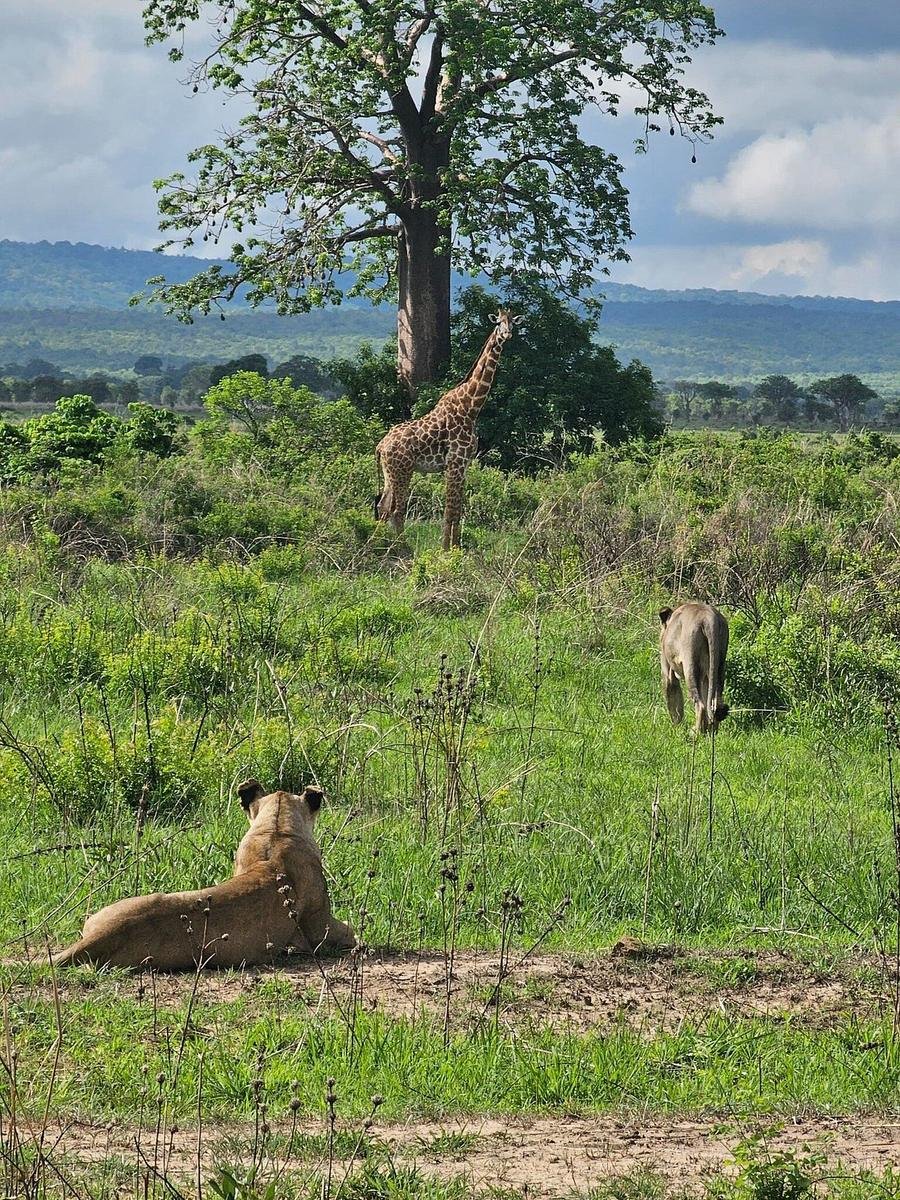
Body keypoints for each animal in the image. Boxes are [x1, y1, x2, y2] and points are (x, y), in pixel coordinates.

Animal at [374, 310, 518, 550]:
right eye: (498, 323)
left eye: (512, 323)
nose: (507, 335)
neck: (471, 408)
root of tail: (380, 446)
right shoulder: (454, 463)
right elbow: (450, 510)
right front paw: (446, 550)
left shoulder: (464, 466)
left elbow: (457, 510)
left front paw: (456, 548)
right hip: (403, 471)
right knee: (396, 510)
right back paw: (402, 548)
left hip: (389, 473)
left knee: (383, 507)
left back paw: (379, 543)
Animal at [659, 602, 730, 735]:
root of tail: (708, 618)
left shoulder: (667, 670)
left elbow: (674, 701)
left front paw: (676, 728)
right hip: (718, 665)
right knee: (714, 702)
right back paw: (711, 731)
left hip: (690, 666)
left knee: (700, 705)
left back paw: (695, 733)